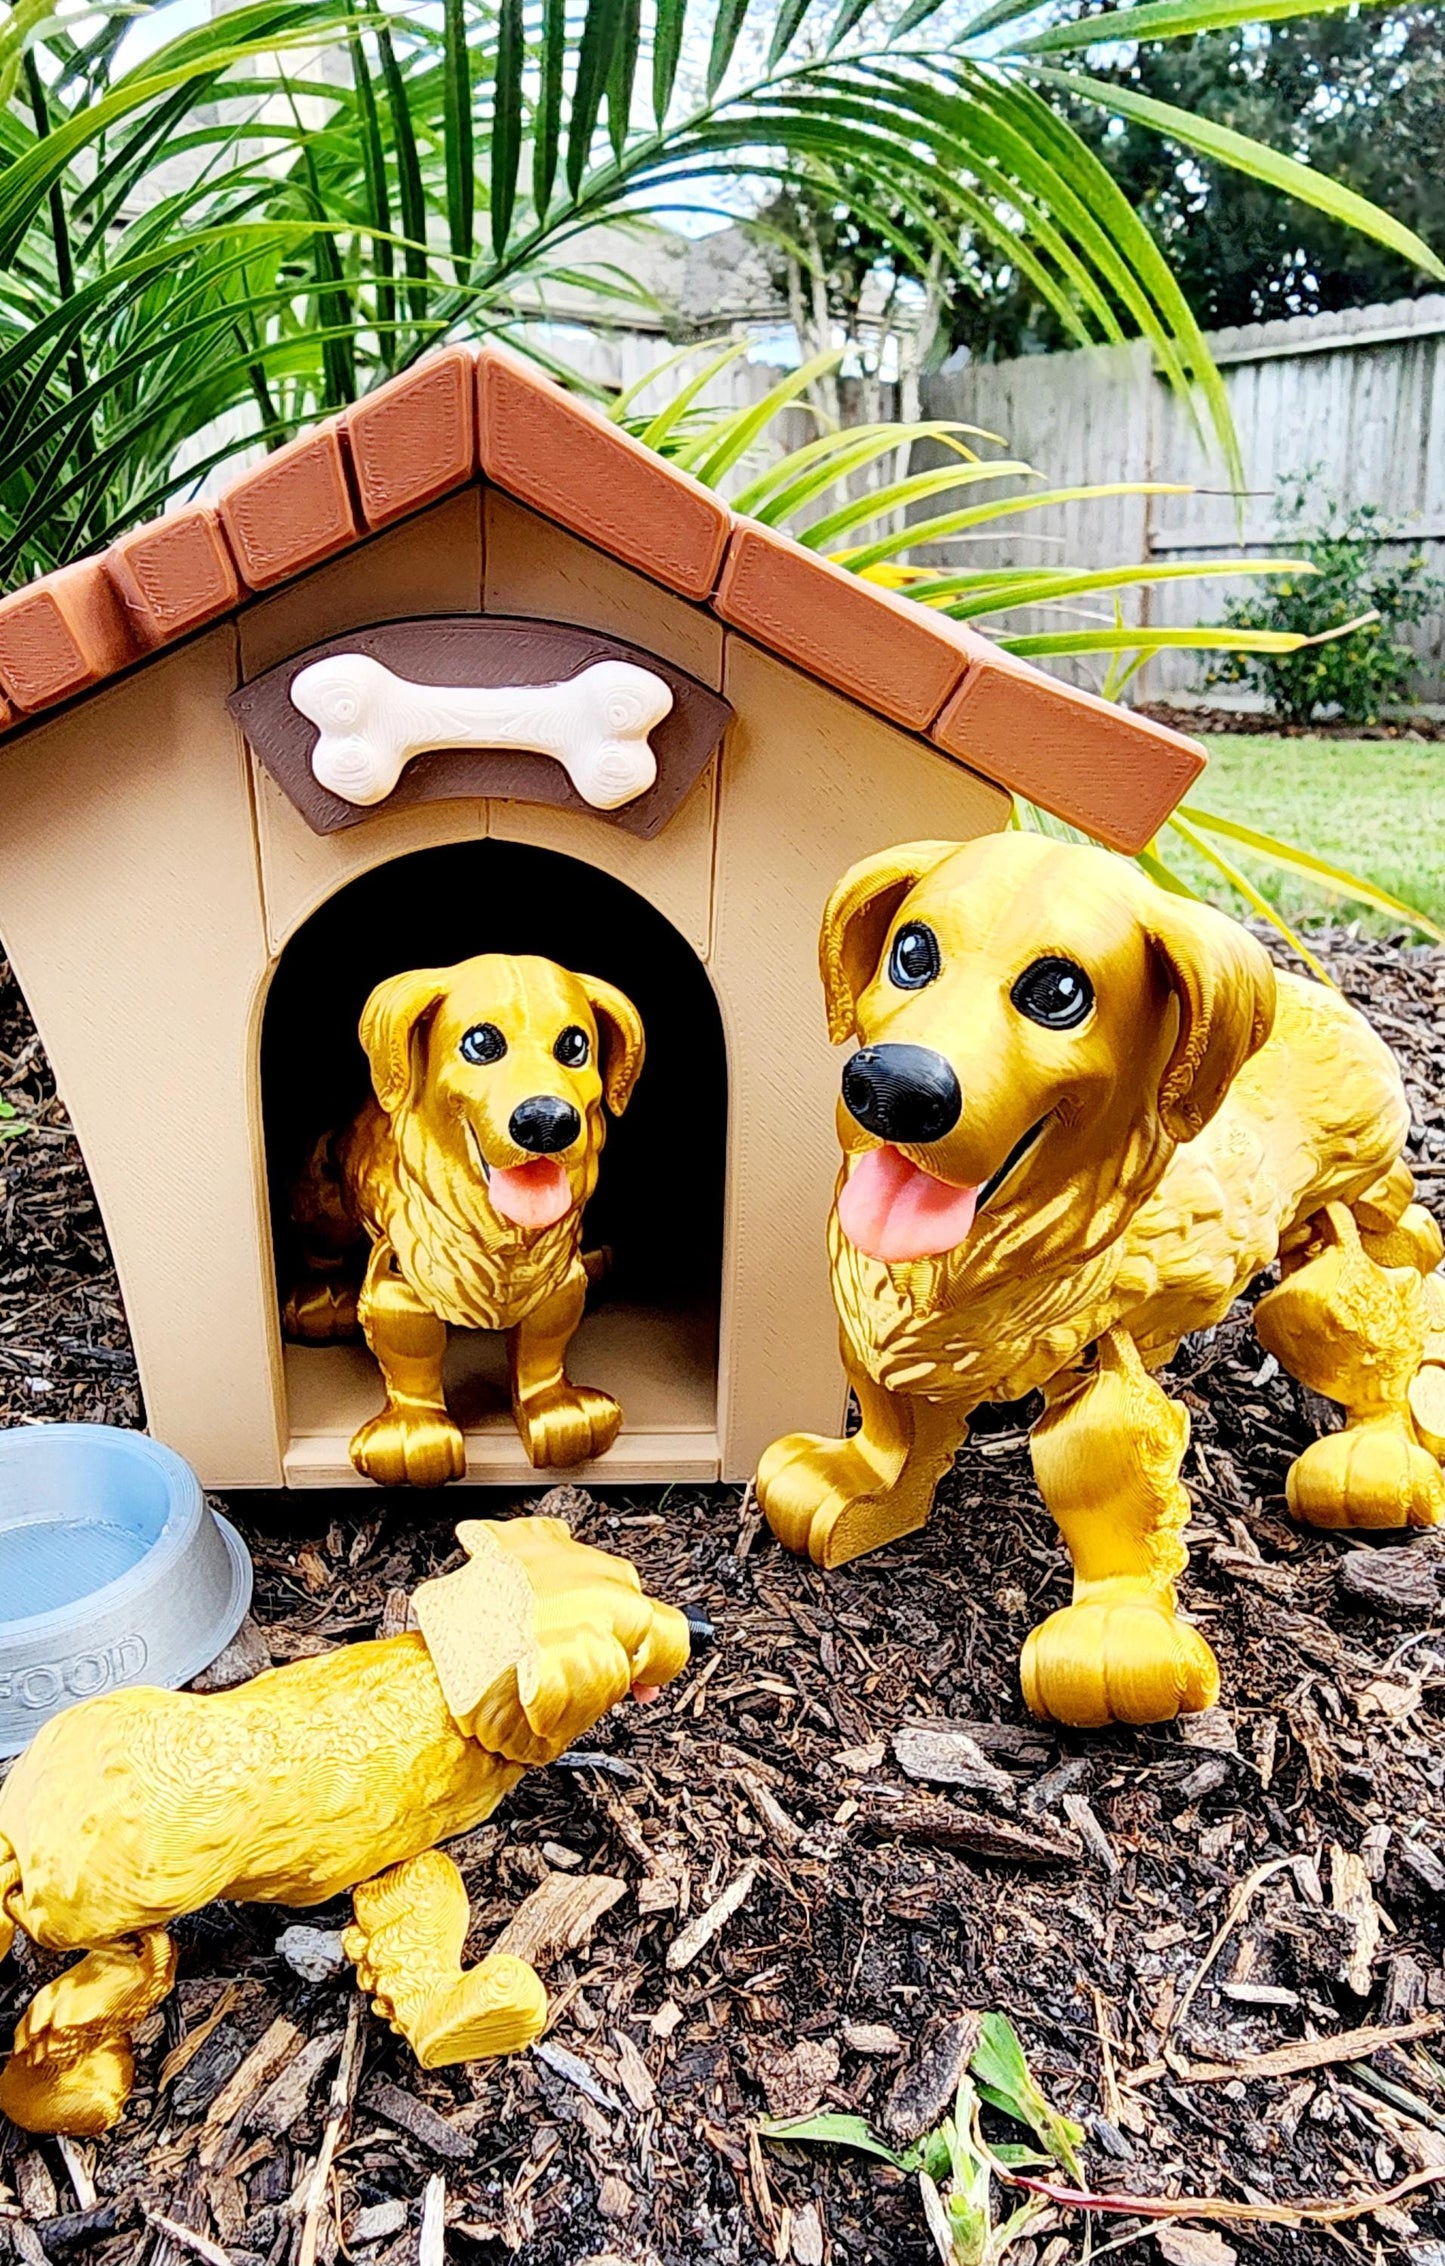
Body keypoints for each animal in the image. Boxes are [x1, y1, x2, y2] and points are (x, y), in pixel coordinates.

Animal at [284, 956, 643, 1486]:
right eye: (480, 1043)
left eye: (575, 1045)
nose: (547, 1123)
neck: (500, 1235)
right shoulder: (399, 1279)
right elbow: (411, 1355)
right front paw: (415, 1434)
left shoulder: (555, 1283)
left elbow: (542, 1346)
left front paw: (558, 1412)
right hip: (322, 1203)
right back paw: (324, 1298)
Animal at [761, 842, 1445, 1722]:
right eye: (910, 952)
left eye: (1058, 993)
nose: (892, 1089)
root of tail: (1329, 1005)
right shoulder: (900, 1337)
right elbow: (895, 1420)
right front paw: (856, 1489)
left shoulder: (1097, 1361)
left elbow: (1100, 1469)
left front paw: (1114, 1636)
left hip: (1314, 1267)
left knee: (1364, 1321)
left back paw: (1377, 1456)